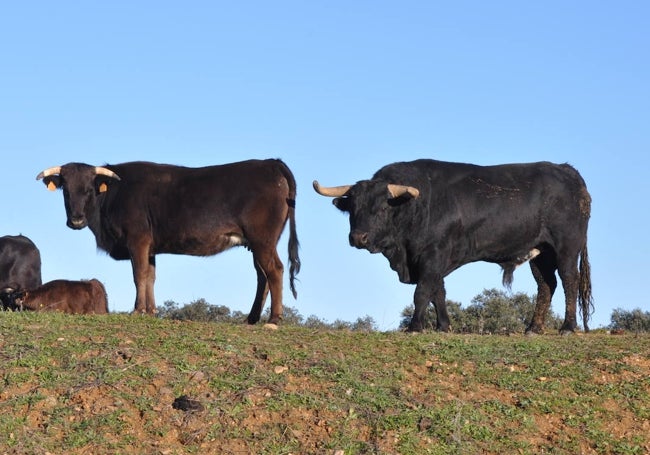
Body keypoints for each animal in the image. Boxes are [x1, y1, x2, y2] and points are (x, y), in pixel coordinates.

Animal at [35, 160, 298, 324]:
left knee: (274, 270)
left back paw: (274, 319)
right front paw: (151, 310)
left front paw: (138, 310)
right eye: (66, 191)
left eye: (89, 189)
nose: (76, 220)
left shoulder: (137, 239)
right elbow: (150, 276)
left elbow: (139, 274)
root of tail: (270, 162)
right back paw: (252, 319)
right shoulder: (149, 247)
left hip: (262, 239)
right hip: (257, 243)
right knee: (262, 275)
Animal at [314, 159, 592, 334]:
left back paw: (567, 327)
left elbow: (423, 292)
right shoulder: (430, 261)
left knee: (569, 279)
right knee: (546, 285)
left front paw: (415, 327)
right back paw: (533, 328)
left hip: (566, 247)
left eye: (382, 207)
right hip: (540, 252)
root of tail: (567, 171)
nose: (358, 238)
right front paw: (443, 326)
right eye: (352, 208)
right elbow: (438, 292)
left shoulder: (433, 255)